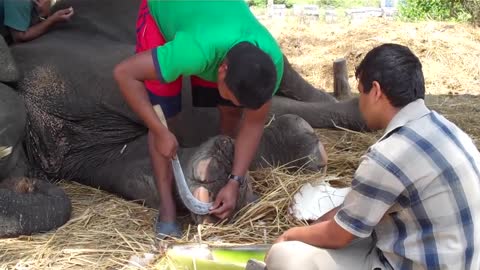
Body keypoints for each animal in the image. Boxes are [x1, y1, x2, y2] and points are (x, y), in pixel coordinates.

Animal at [0, 0, 366, 236]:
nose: (29, 184)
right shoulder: (73, 152)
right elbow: (127, 167)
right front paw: (212, 176)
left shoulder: (77, 69)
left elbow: (191, 108)